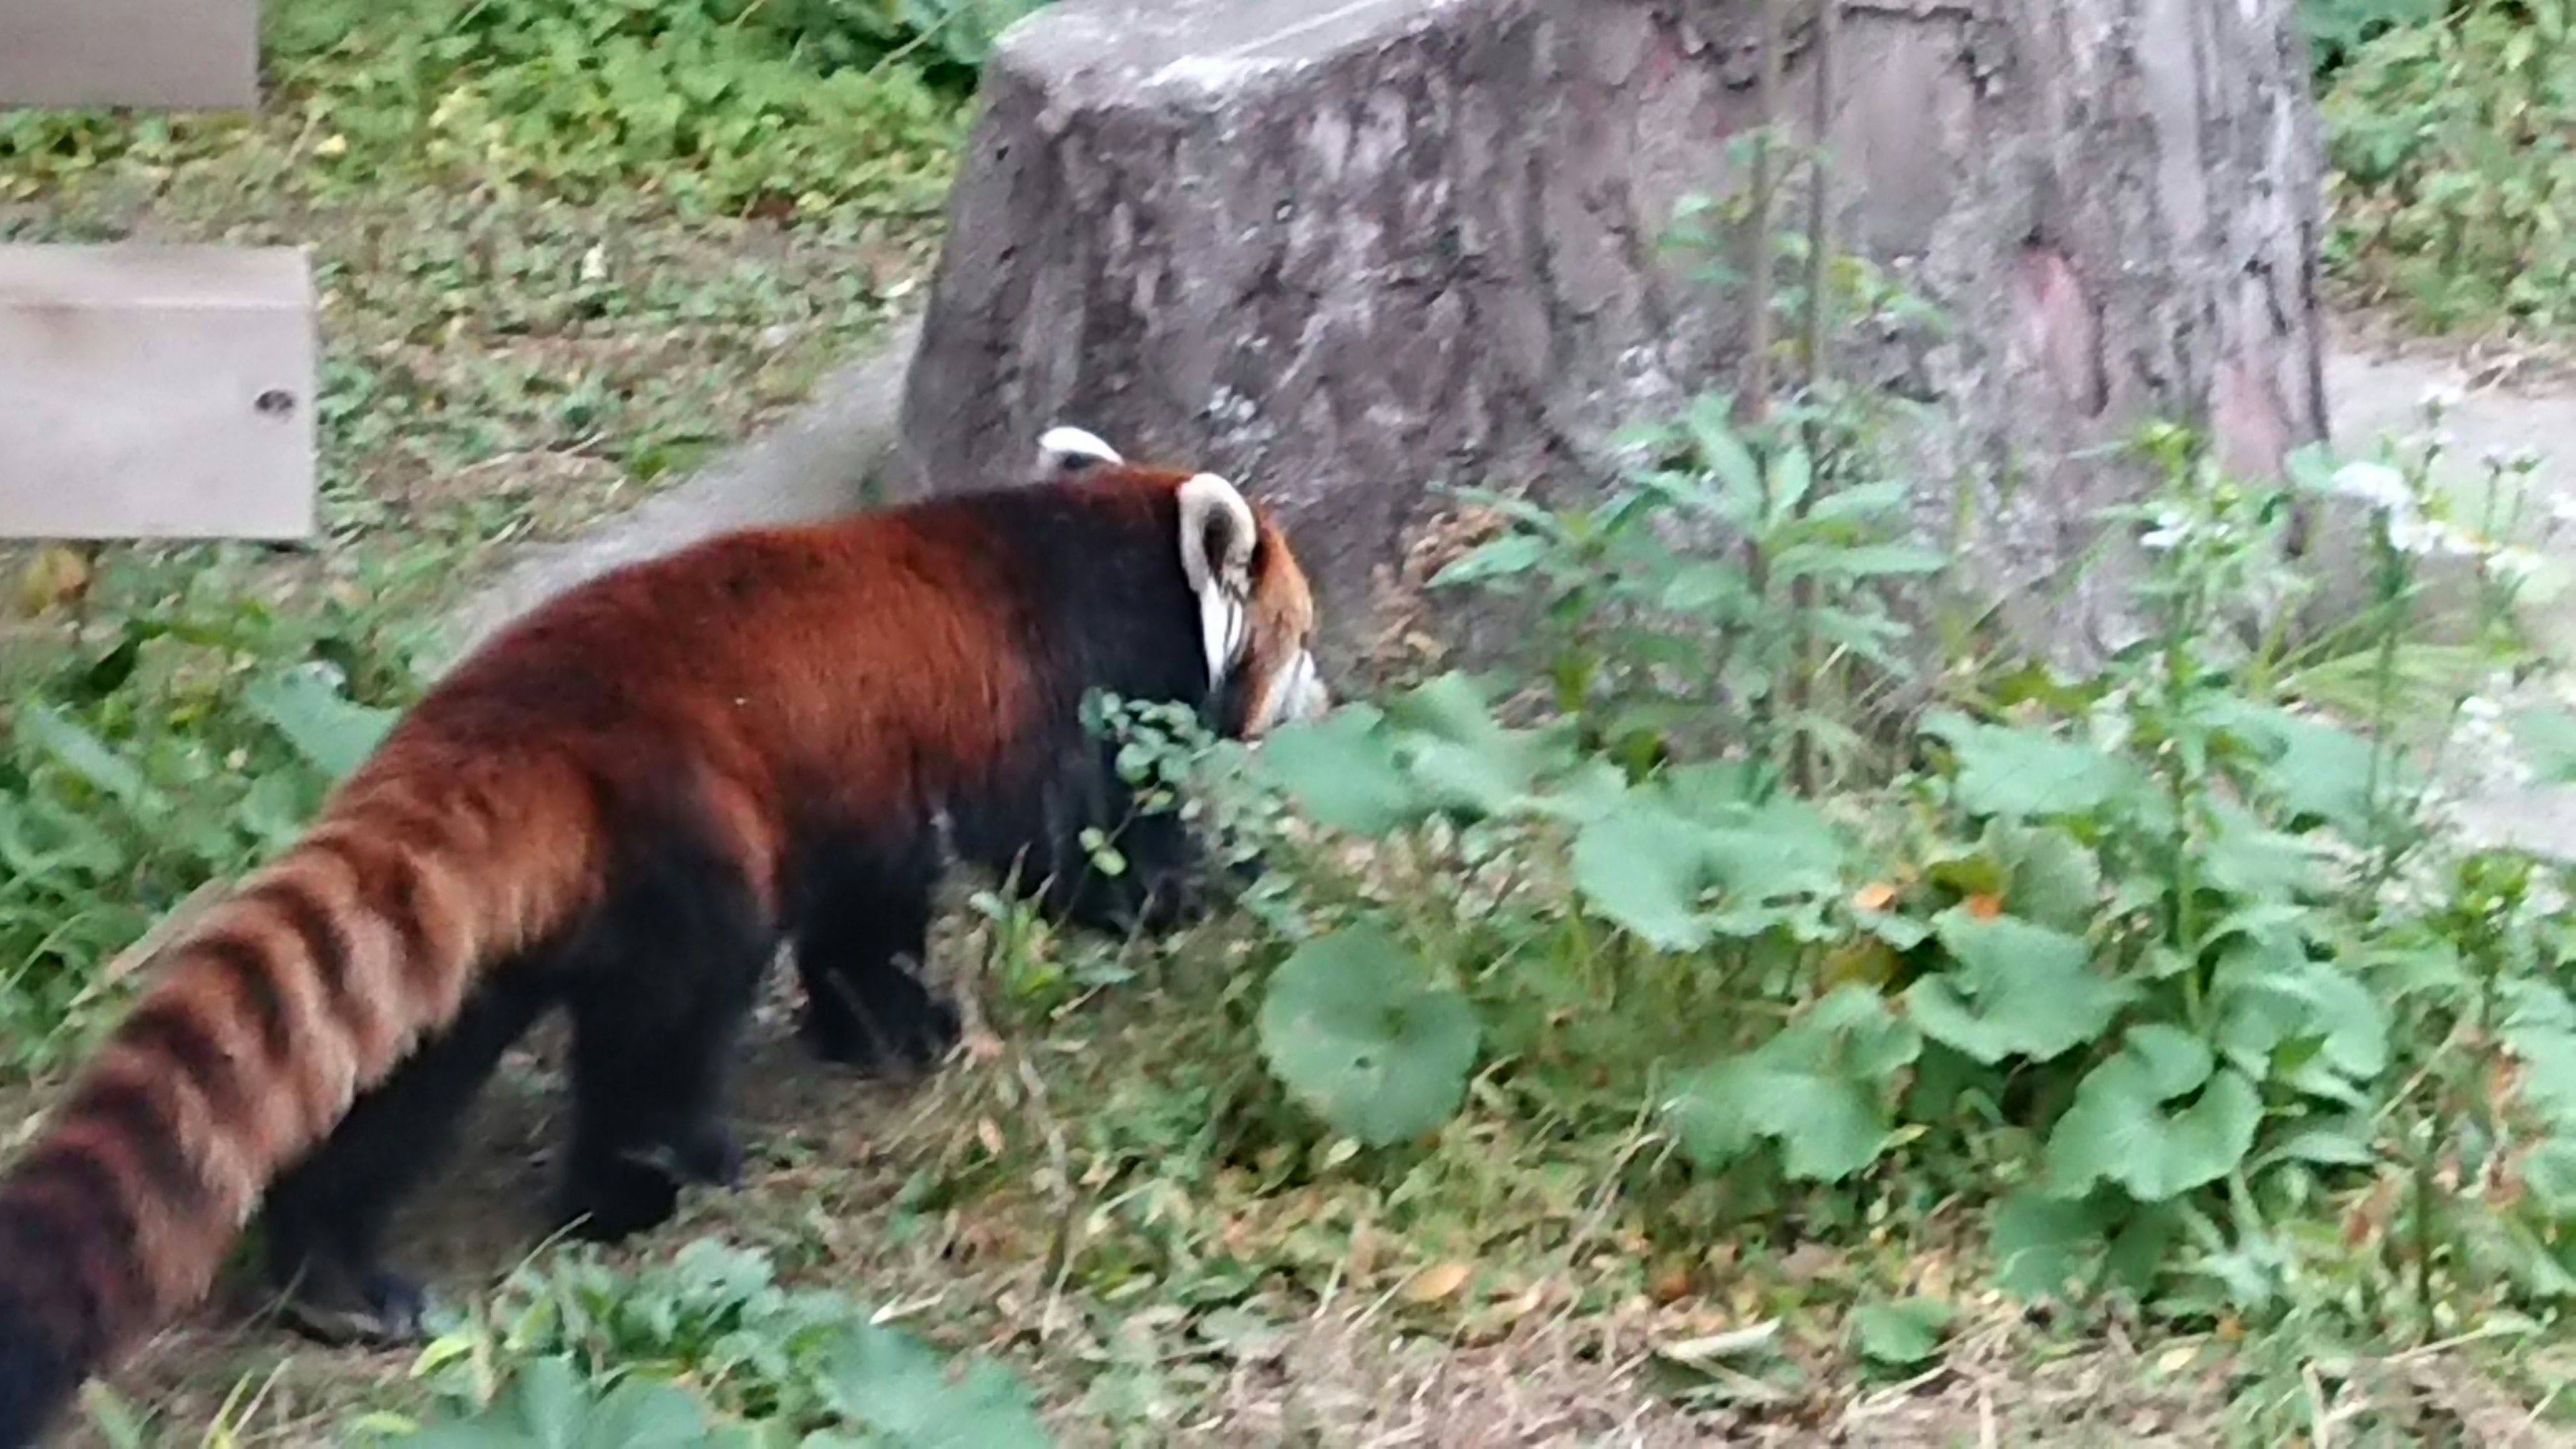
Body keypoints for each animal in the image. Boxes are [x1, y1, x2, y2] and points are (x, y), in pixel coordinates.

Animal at [0, 430, 1329, 1444]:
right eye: (1301, 638)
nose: (1328, 695)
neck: (1087, 546)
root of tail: (506, 716)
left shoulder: (862, 785)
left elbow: (866, 916)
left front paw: (886, 1023)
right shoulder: (1053, 701)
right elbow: (1073, 851)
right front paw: (1206, 890)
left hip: (492, 931)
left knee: (405, 1075)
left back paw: (332, 1280)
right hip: (683, 839)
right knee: (670, 1019)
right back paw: (648, 1184)